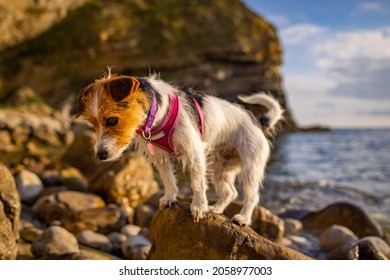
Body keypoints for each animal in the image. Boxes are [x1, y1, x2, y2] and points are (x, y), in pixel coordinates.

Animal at [76, 72, 284, 225]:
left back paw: (243, 218)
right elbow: (168, 179)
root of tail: (258, 122)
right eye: (93, 124)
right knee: (230, 192)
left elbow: (197, 183)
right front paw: (170, 198)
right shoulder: (160, 157)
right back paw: (216, 209)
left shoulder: (194, 152)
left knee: (252, 196)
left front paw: (198, 207)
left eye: (112, 120)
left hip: (251, 166)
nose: (100, 155)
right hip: (219, 168)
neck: (155, 115)